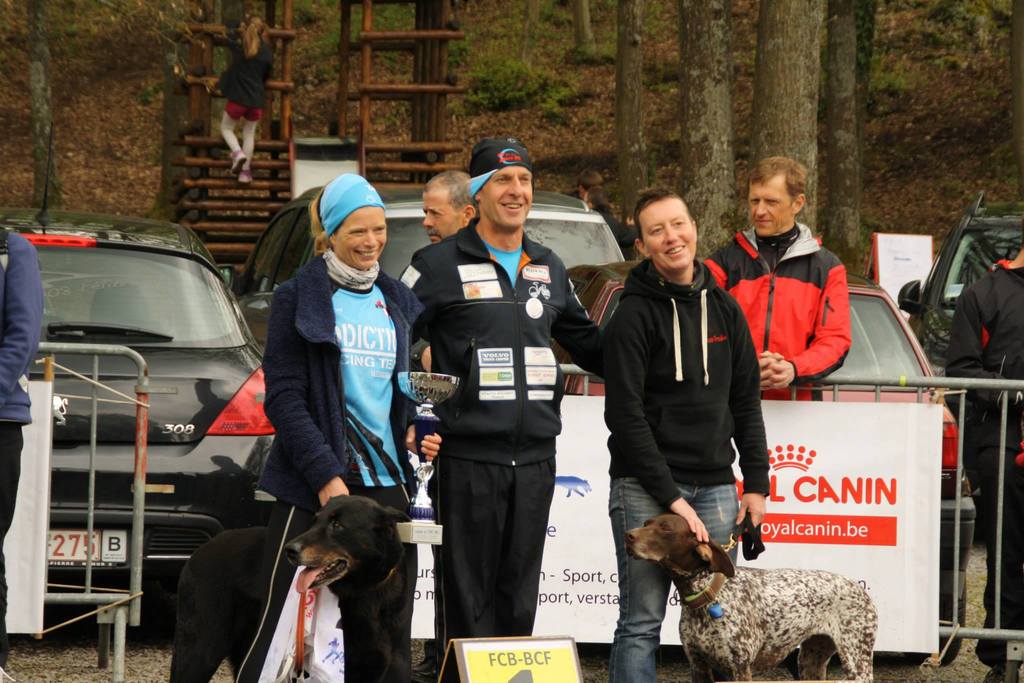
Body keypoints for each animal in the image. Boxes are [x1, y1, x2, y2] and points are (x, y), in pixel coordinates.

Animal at [170, 495, 411, 683]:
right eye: (315, 521)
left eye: (337, 525)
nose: (290, 550)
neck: (365, 590)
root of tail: (198, 551)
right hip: (202, 648)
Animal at [626, 514, 877, 682]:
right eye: (646, 523)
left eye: (665, 528)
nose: (628, 536)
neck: (708, 595)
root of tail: (860, 589)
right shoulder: (698, 666)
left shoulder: (740, 668)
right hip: (810, 660)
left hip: (857, 662)